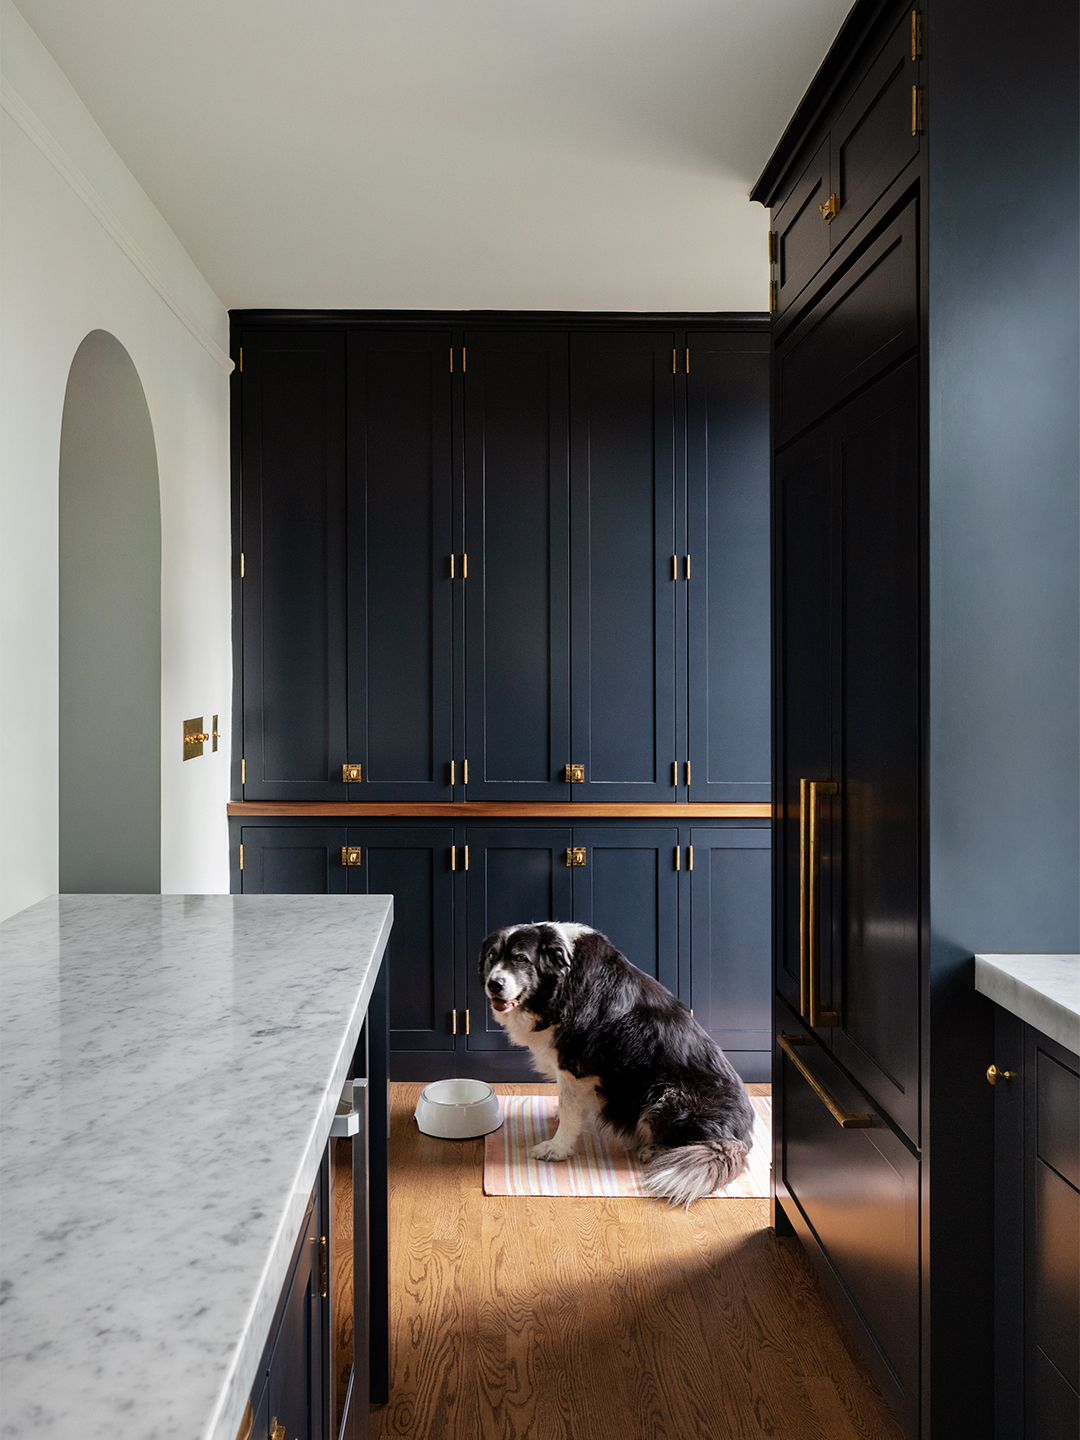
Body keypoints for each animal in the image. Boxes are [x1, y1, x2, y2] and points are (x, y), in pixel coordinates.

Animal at [478, 921, 754, 1203]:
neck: (562, 982)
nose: (494, 984)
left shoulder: (574, 1065)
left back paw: (655, 1150)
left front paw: (556, 1148)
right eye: (492, 956)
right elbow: (568, 1104)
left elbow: (569, 1110)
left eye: (521, 958)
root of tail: (739, 1138)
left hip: (666, 1094)